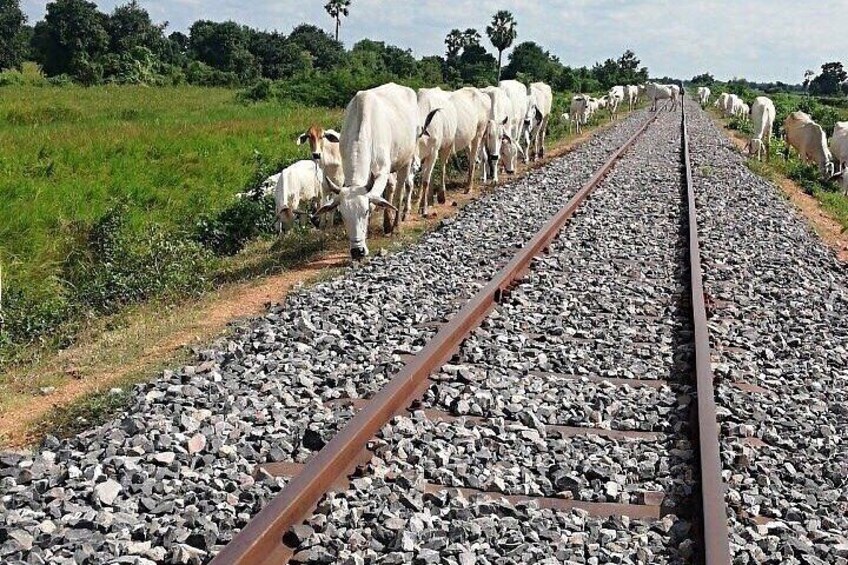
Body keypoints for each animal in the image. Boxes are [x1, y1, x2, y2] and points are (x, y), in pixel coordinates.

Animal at [314, 82, 418, 258]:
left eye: (366, 212)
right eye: (343, 216)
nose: (358, 252)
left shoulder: (382, 170)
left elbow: (377, 199)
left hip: (407, 159)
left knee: (399, 191)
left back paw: (395, 226)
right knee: (391, 188)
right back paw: (387, 223)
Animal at [416, 88, 458, 216]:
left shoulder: (433, 153)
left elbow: (425, 181)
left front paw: (423, 208)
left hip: (447, 146)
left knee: (443, 167)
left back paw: (441, 195)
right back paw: (429, 199)